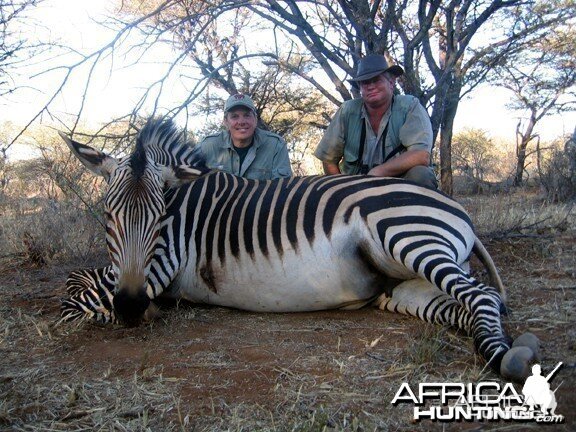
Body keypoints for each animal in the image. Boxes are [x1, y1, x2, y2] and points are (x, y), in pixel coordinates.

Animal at [59, 118, 540, 382]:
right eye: (108, 217)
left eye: (160, 219)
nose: (131, 307)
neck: (185, 206)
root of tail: (452, 206)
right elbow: (80, 285)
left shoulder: (159, 265)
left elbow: (74, 295)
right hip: (399, 285)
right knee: (470, 304)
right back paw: (519, 349)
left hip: (407, 234)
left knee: (480, 296)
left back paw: (504, 358)